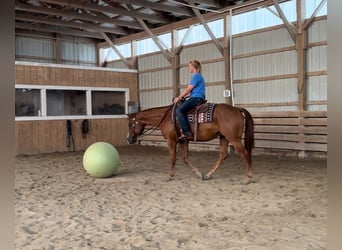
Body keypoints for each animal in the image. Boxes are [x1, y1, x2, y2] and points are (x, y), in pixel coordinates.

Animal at [126, 102, 254, 183]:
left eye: (130, 124)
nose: (129, 139)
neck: (166, 117)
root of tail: (237, 109)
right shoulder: (183, 140)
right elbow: (185, 158)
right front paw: (198, 173)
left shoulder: (171, 140)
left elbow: (173, 158)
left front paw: (169, 176)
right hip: (223, 137)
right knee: (223, 155)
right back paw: (208, 174)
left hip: (234, 138)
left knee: (245, 154)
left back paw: (248, 178)